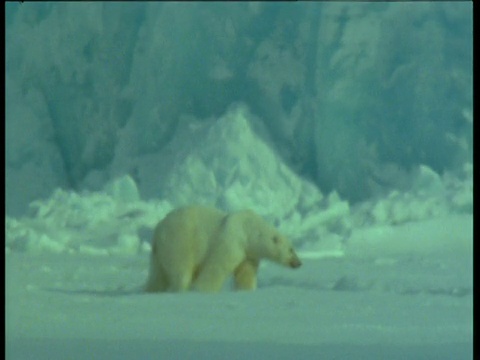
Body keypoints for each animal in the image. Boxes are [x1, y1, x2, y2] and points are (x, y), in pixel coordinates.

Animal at [144, 205, 302, 292]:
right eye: (291, 249)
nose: (299, 263)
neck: (248, 230)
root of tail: (158, 231)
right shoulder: (232, 240)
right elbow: (218, 265)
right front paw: (200, 289)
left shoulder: (249, 253)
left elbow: (246, 273)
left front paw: (245, 290)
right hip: (179, 241)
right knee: (181, 270)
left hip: (159, 253)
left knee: (157, 276)